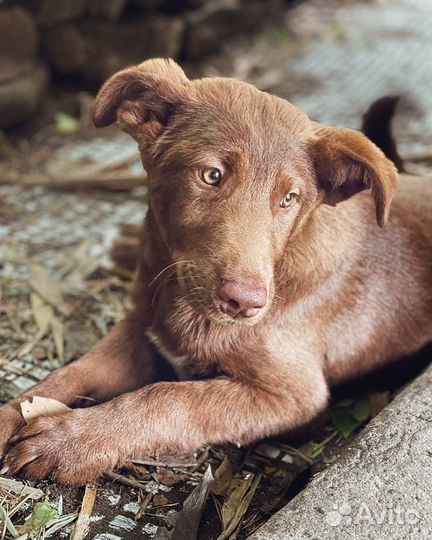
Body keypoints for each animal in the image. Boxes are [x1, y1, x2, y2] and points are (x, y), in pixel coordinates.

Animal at [0, 60, 432, 486]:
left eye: (289, 199)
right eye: (211, 175)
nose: (245, 303)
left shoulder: (293, 394)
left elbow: (168, 398)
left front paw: (70, 441)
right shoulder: (140, 328)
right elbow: (72, 372)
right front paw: (12, 414)